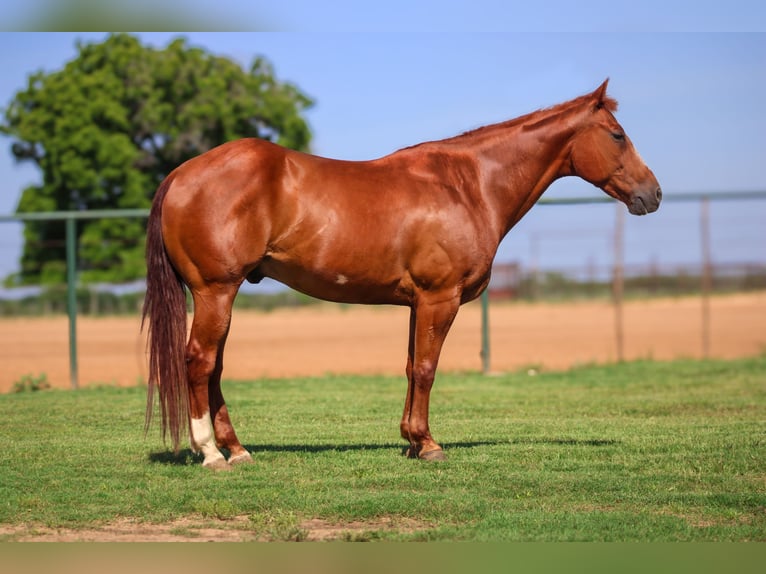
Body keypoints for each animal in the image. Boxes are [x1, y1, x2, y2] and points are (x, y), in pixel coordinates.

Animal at [142, 79, 660, 470]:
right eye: (617, 134)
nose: (652, 194)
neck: (468, 184)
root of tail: (181, 174)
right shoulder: (439, 298)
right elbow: (428, 369)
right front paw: (429, 445)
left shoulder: (417, 303)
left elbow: (412, 367)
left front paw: (411, 440)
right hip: (216, 291)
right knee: (199, 361)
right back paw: (211, 453)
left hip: (220, 296)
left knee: (214, 367)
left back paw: (236, 449)